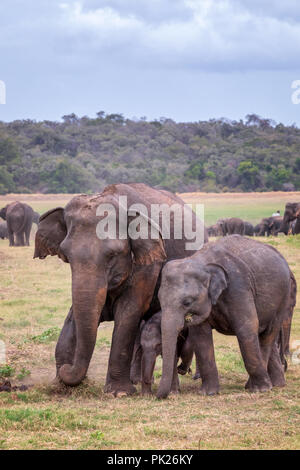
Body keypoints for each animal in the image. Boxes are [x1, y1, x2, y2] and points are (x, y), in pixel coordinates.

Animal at [32, 182, 206, 394]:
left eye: (112, 255)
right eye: (66, 255)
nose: (66, 367)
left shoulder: (148, 263)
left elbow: (128, 313)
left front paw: (119, 393)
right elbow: (74, 314)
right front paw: (60, 384)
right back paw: (139, 380)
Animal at [157, 237, 296, 398]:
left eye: (187, 302)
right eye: (159, 300)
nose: (160, 396)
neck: (203, 262)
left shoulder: (238, 287)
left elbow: (246, 328)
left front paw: (260, 390)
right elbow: (201, 336)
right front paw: (208, 393)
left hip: (283, 299)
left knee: (267, 334)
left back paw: (257, 387)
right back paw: (277, 384)